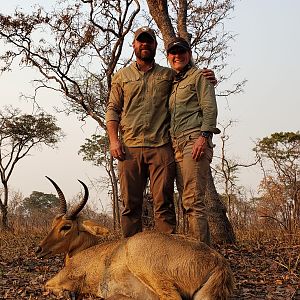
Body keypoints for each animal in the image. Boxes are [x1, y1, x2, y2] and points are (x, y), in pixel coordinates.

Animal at [38, 178, 234, 300]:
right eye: (54, 222)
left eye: (66, 226)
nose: (39, 249)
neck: (85, 250)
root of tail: (218, 262)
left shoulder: (64, 277)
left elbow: (46, 285)